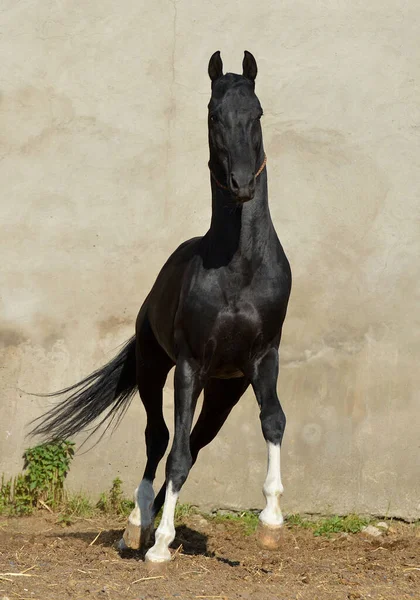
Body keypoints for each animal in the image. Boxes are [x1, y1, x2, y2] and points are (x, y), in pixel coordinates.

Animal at [31, 51, 292, 564]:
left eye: (257, 113)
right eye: (213, 116)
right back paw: (138, 527)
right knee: (160, 440)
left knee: (194, 440)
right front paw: (160, 546)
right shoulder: (190, 365)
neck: (241, 267)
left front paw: (271, 522)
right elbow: (174, 453)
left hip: (226, 388)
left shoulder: (263, 357)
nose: (241, 186)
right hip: (154, 369)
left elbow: (272, 421)